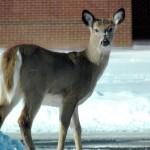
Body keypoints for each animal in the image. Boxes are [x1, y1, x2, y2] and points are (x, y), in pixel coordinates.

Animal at [0, 7, 125, 149]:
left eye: (111, 28)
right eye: (96, 29)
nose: (105, 41)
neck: (90, 65)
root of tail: (13, 52)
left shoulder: (75, 102)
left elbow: (77, 128)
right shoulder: (71, 94)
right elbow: (64, 126)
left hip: (10, 90)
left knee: (1, 112)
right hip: (35, 88)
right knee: (24, 120)